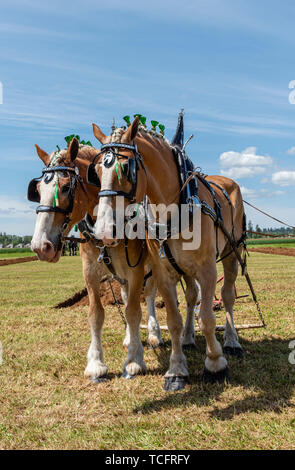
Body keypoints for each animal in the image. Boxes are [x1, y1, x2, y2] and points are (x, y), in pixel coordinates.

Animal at [93, 118, 246, 392]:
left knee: (227, 296)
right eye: (97, 170)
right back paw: (187, 338)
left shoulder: (208, 270)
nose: (103, 231)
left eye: (127, 168)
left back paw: (231, 341)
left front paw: (215, 364)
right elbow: (174, 320)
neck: (175, 208)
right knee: (191, 296)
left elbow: (207, 317)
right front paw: (176, 370)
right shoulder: (163, 272)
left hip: (231, 253)